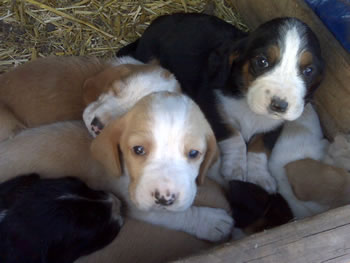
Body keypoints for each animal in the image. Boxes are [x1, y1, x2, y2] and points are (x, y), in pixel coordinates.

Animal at [116, 12, 324, 194]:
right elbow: (234, 136)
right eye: (262, 61)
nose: (279, 105)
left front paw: (259, 176)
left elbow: (260, 147)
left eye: (308, 71)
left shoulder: (273, 127)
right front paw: (235, 168)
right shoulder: (212, 107)